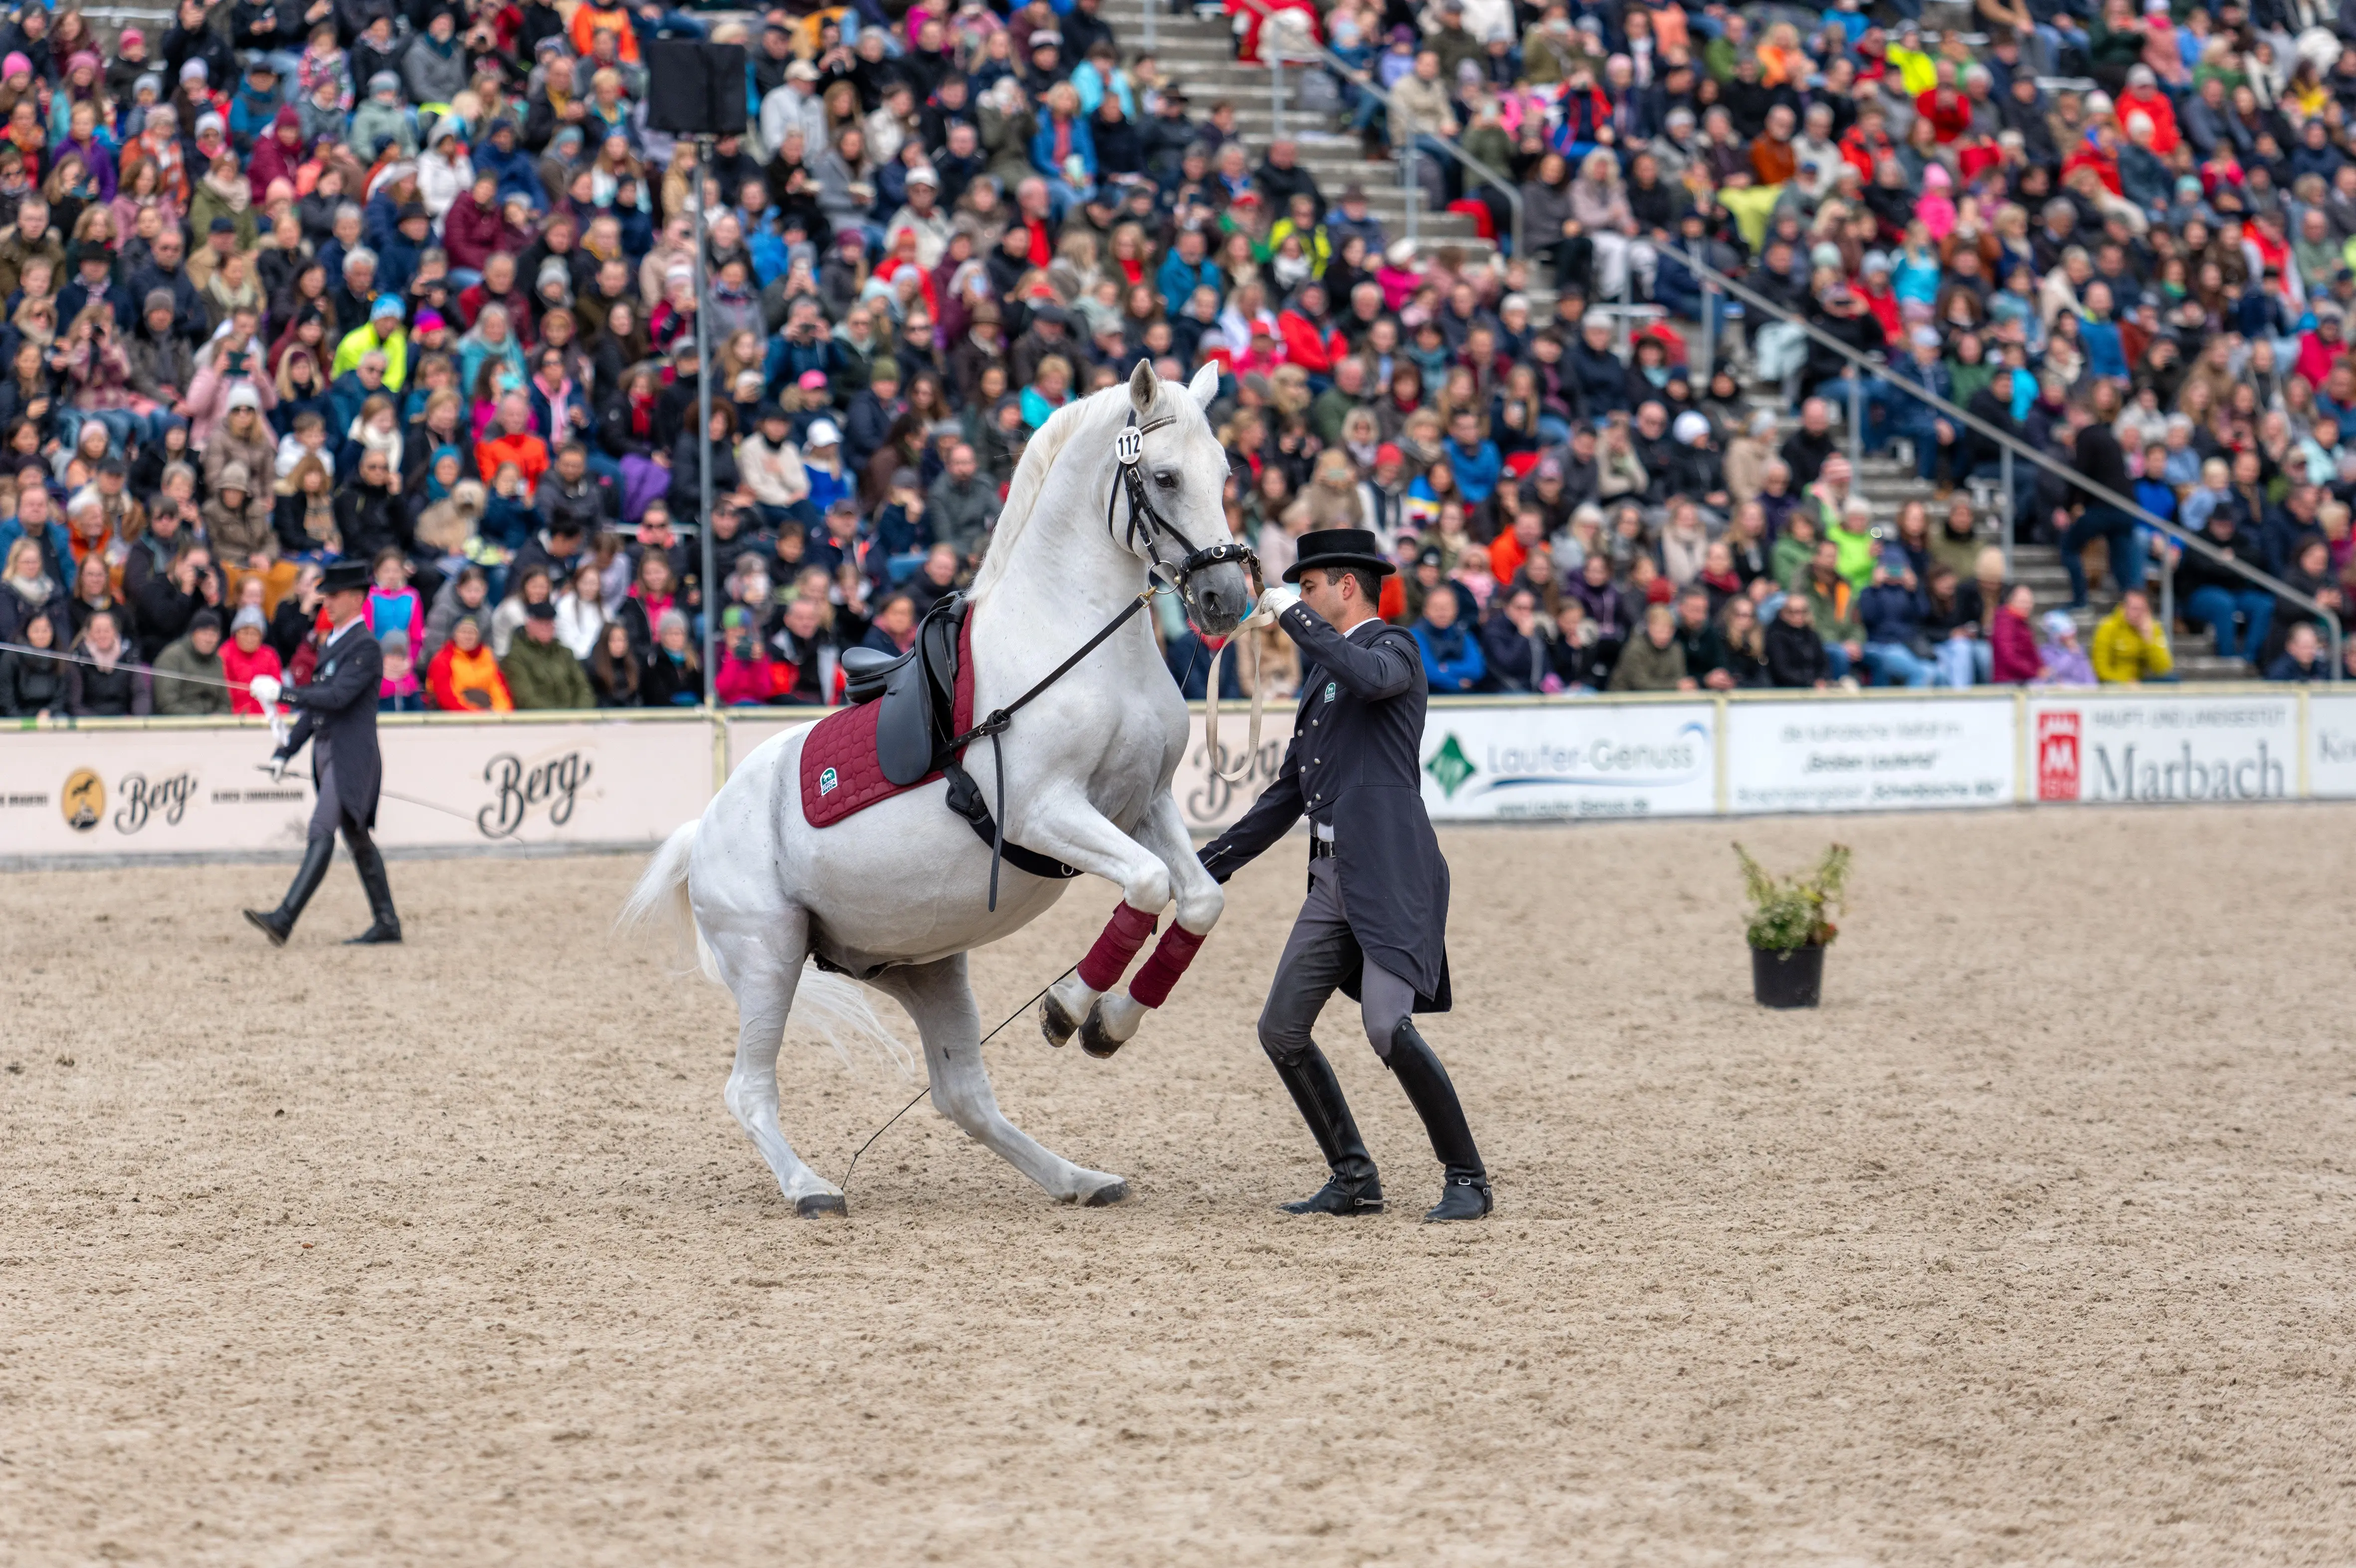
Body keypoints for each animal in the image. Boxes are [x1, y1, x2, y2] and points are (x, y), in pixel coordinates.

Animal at [622, 362, 1253, 1205]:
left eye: (1224, 473)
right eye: (1164, 476)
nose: (1226, 600)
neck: (1072, 644)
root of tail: (706, 827)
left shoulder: (1143, 806)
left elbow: (1201, 900)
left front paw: (1109, 1023)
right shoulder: (1048, 815)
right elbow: (1150, 886)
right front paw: (1068, 1008)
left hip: (927, 970)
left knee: (963, 1098)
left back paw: (1077, 1179)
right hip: (770, 958)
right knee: (749, 1090)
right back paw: (810, 1187)